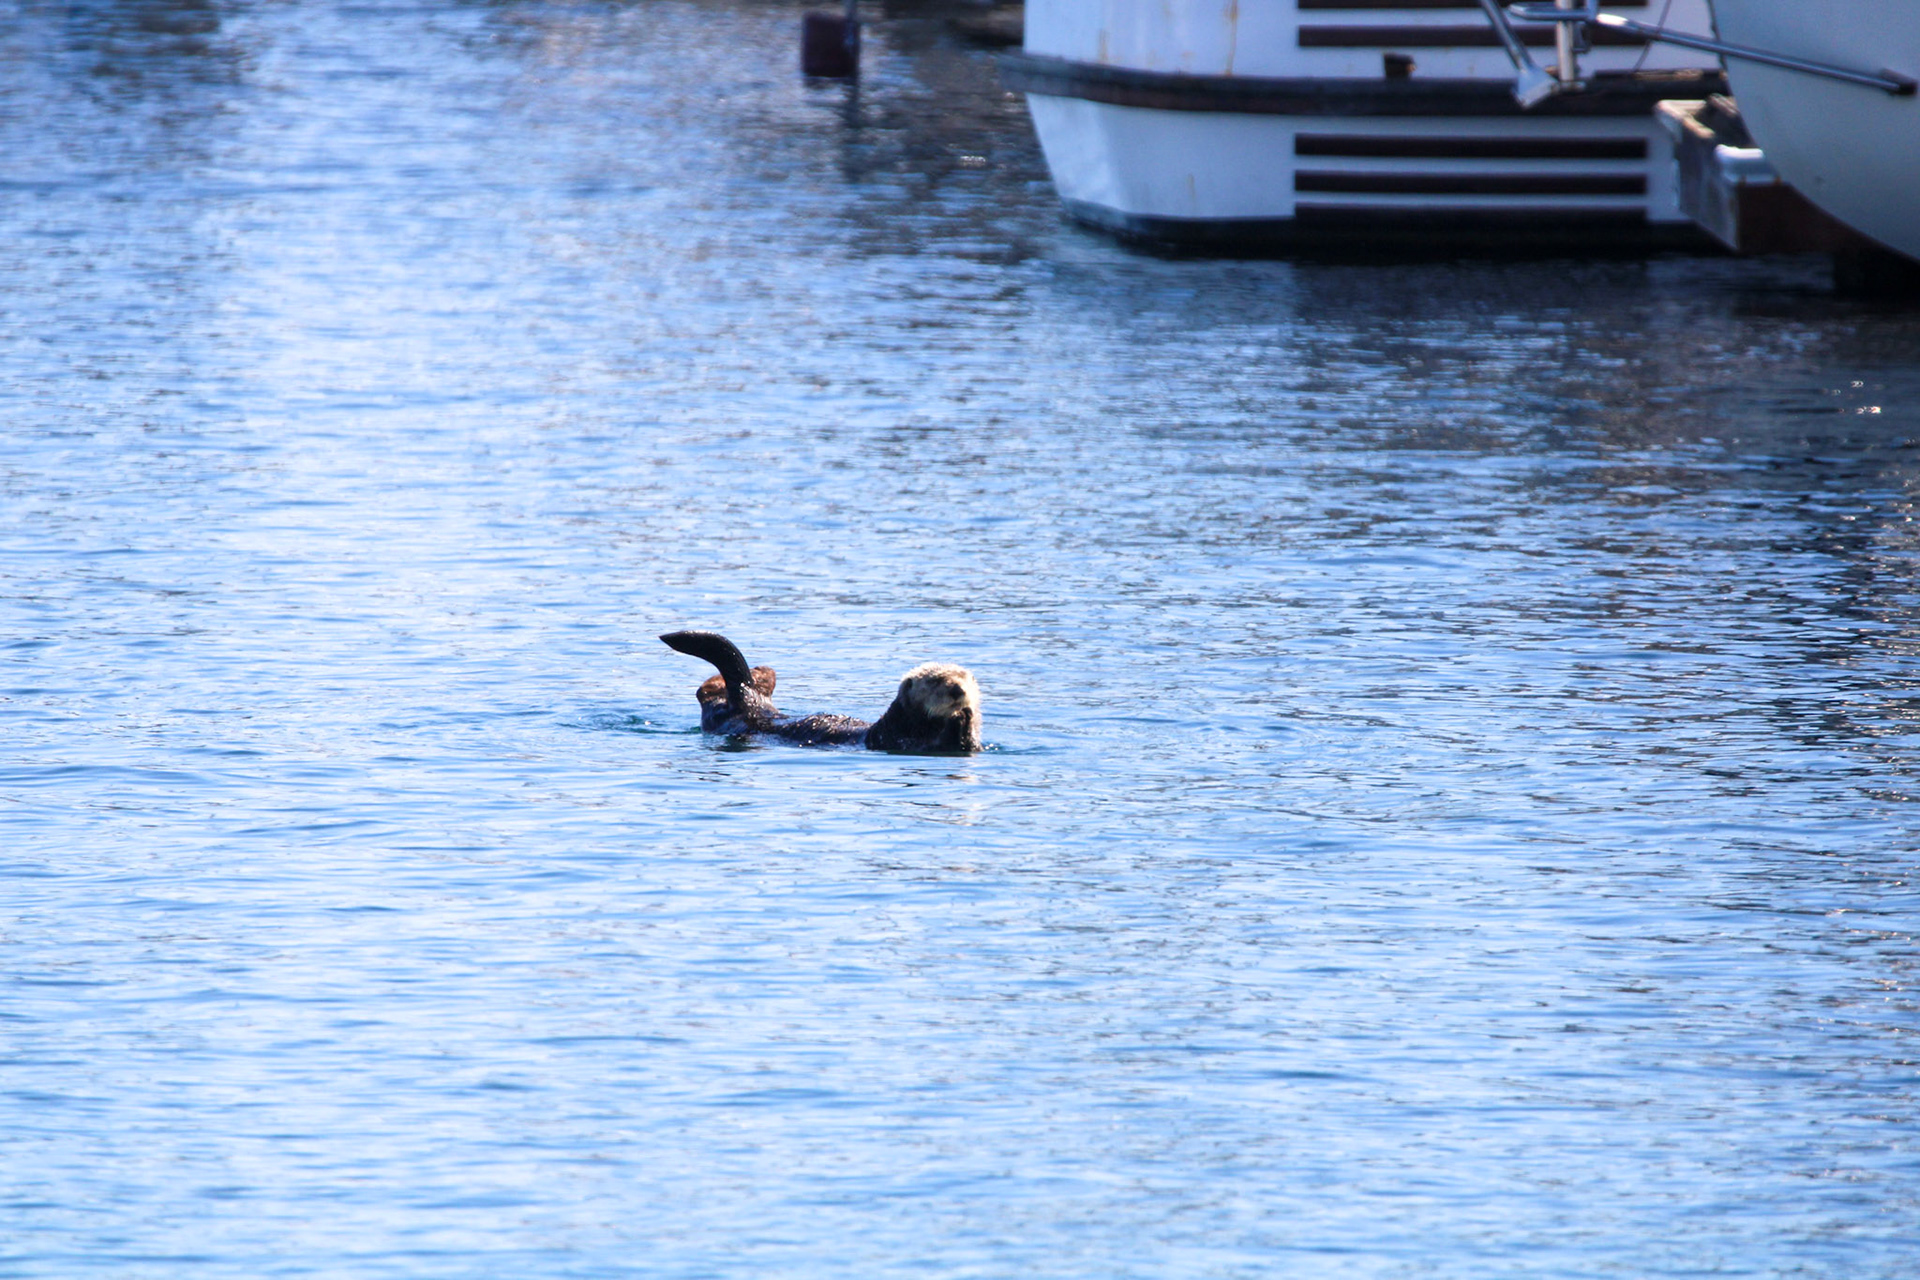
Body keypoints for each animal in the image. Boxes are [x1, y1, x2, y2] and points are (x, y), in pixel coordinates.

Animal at [661, 630, 981, 754]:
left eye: (965, 678)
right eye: (937, 681)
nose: (958, 690)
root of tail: (748, 697)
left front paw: (965, 716)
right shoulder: (900, 739)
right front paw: (959, 718)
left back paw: (762, 673)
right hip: (731, 719)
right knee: (708, 695)